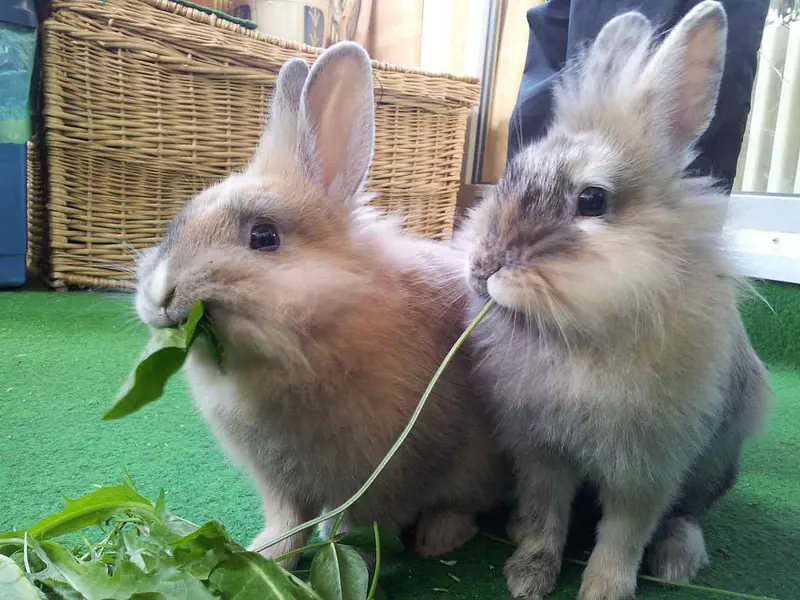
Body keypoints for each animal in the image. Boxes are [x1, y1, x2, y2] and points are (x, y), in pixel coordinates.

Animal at [133, 42, 505, 567]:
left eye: (264, 236)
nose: (161, 294)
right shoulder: (280, 485)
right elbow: (289, 524)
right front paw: (267, 557)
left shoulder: (388, 477)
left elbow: (363, 526)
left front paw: (347, 557)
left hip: (478, 466)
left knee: (464, 504)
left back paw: (439, 539)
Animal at [457, 2, 770, 599]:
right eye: (509, 175)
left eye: (592, 200)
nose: (483, 268)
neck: (577, 336)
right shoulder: (542, 452)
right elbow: (546, 516)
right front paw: (527, 576)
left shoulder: (647, 467)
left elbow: (624, 534)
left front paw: (604, 589)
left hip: (714, 467)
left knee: (686, 515)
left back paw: (677, 559)